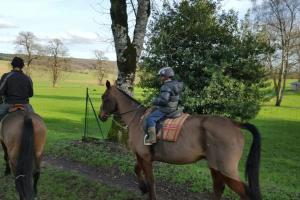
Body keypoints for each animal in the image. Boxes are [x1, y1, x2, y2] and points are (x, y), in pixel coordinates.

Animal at [99, 80, 260, 199]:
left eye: (104, 97)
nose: (101, 116)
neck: (137, 118)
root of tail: (235, 124)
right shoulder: (142, 157)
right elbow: (137, 170)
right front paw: (143, 188)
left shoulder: (144, 157)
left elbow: (151, 181)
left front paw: (147, 190)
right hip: (215, 167)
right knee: (218, 188)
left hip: (226, 170)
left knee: (245, 194)